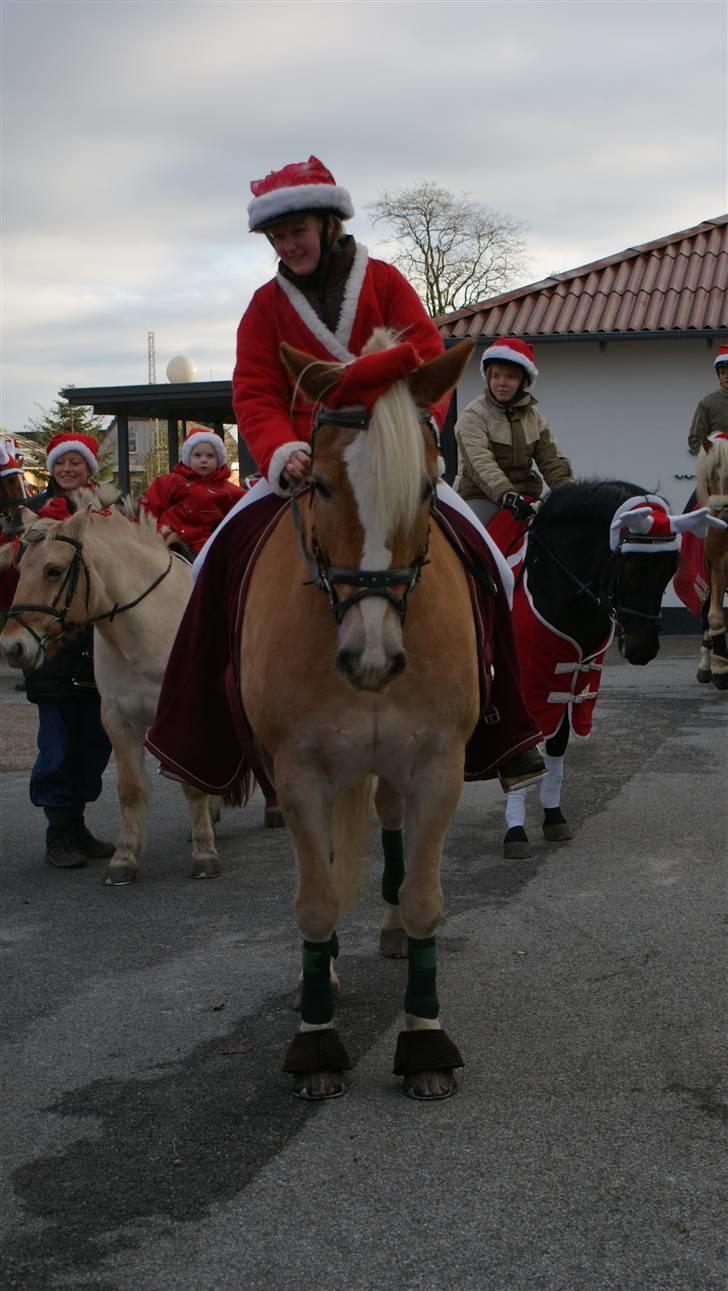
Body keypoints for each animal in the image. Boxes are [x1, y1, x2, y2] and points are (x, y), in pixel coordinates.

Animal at [0, 495, 222, 888]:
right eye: (21, 567)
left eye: (54, 570)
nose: (13, 646)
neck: (146, 629)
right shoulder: (117, 719)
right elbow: (129, 789)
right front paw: (124, 858)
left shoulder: (182, 712)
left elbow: (190, 783)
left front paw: (204, 854)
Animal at [238, 330, 477, 1099]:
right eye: (318, 484)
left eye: (427, 489)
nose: (370, 656)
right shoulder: (300, 773)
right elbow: (315, 901)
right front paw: (316, 1042)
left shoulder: (437, 764)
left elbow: (426, 893)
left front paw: (425, 1040)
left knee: (392, 831)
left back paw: (394, 928)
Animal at [500, 480, 681, 862]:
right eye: (631, 568)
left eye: (670, 569)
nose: (643, 649)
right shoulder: (528, 686)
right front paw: (515, 832)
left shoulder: (570, 683)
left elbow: (557, 743)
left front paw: (553, 817)